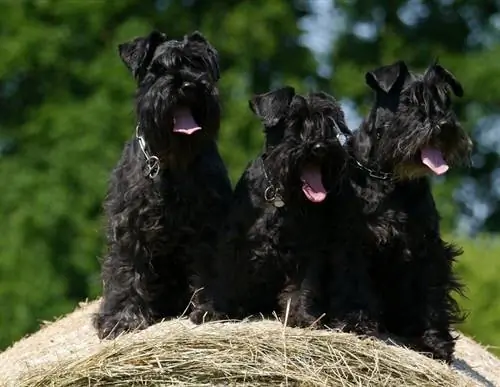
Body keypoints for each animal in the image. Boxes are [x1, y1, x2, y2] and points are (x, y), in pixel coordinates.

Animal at [93, 30, 232, 340]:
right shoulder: (129, 226)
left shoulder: (209, 223)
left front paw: (211, 308)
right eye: (157, 69)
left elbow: (209, 266)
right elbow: (125, 269)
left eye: (198, 63)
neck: (172, 163)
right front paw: (121, 319)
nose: (188, 84)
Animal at [189, 87, 354, 328]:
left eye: (329, 123)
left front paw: (301, 315)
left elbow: (303, 286)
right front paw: (213, 311)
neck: (281, 196)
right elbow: (223, 277)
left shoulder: (307, 248)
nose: (320, 147)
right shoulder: (232, 242)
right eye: (295, 122)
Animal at [348, 59, 472, 362]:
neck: (389, 178)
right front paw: (361, 325)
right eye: (408, 100)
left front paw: (435, 343)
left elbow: (431, 297)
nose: (443, 124)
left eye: (445, 101)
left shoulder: (427, 249)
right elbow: (357, 285)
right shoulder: (357, 242)